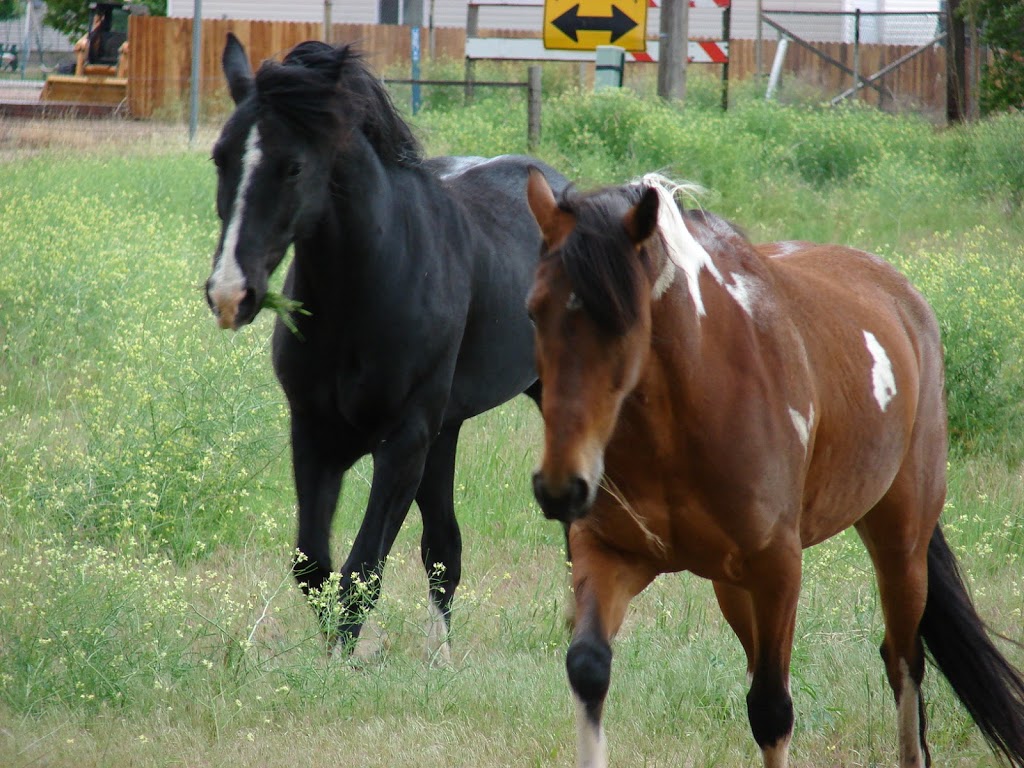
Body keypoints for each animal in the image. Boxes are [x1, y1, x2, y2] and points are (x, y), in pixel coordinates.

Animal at [201, 36, 569, 659]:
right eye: (220, 157)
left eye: (293, 165)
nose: (230, 293)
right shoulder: (317, 434)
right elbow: (314, 564)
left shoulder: (403, 441)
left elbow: (361, 572)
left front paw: (339, 665)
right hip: (447, 430)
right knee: (444, 546)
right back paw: (440, 655)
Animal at [524, 171, 1024, 768]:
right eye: (533, 311)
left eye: (627, 322)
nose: (560, 487)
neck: (683, 417)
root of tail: (906, 300)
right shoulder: (612, 554)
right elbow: (589, 668)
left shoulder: (779, 568)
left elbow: (772, 711)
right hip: (733, 584)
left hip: (900, 543)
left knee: (904, 660)